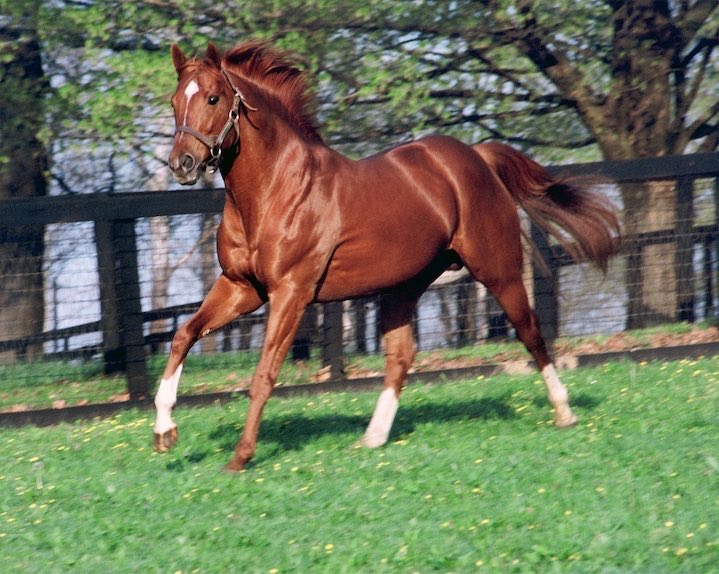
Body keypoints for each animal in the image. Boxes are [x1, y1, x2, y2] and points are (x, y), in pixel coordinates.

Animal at [156, 41, 620, 472]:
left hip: (498, 271)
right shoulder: (241, 287)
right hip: (403, 287)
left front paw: (241, 456)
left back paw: (564, 412)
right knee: (401, 356)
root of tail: (477, 157)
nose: (182, 164)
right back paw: (372, 438)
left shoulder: (291, 292)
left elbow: (264, 373)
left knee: (531, 332)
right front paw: (164, 432)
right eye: (175, 100)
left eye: (213, 98)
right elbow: (183, 335)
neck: (275, 191)